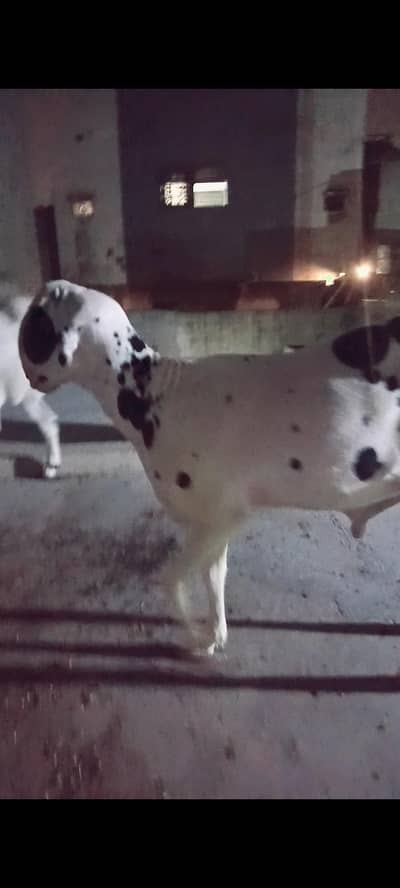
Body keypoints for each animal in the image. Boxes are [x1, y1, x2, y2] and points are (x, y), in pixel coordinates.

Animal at [18, 279, 400, 654]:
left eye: (34, 325)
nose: (25, 374)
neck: (157, 393)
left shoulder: (221, 518)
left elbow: (170, 580)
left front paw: (197, 635)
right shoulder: (212, 524)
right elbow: (212, 578)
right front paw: (215, 633)